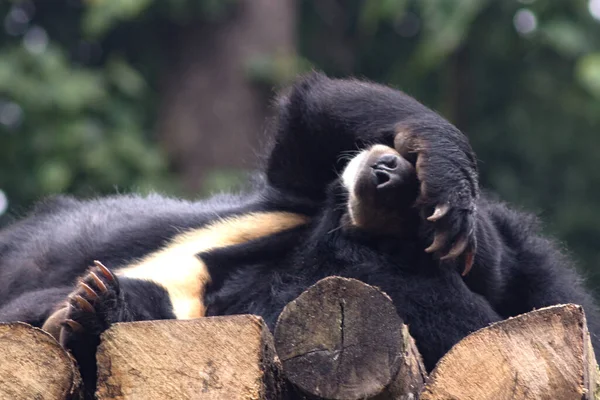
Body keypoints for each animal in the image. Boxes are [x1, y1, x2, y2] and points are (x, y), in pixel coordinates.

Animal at [0, 72, 596, 394]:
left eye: (398, 229)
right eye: (411, 210)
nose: (385, 173)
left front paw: (91, 309)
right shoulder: (293, 204)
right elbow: (311, 124)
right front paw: (446, 178)